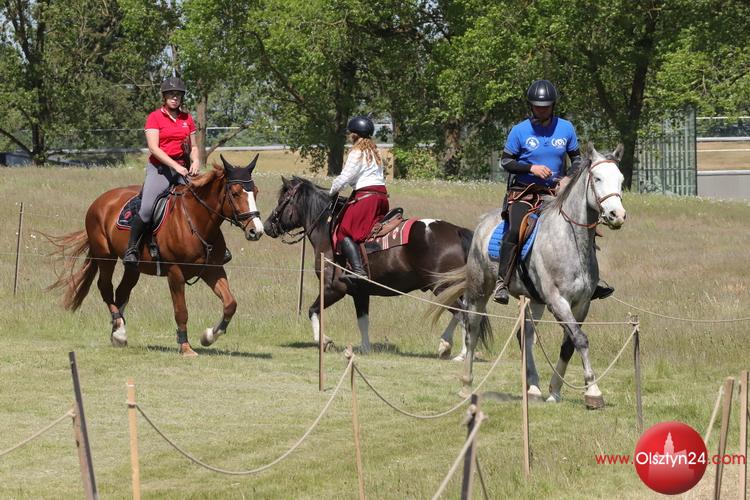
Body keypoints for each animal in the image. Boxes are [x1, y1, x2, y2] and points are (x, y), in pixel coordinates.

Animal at [47, 155, 265, 356]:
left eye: (255, 192)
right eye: (235, 193)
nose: (257, 231)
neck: (195, 222)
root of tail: (102, 199)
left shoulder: (212, 269)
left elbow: (230, 304)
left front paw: (209, 336)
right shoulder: (175, 273)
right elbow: (181, 311)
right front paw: (185, 347)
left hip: (133, 266)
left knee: (122, 291)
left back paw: (118, 332)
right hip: (106, 257)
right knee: (105, 287)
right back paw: (119, 331)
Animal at [263, 176, 478, 355]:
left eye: (282, 201)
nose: (266, 226)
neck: (328, 229)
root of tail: (456, 231)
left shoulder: (334, 289)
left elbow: (312, 310)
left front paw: (323, 341)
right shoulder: (360, 292)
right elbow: (363, 321)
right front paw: (364, 348)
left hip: (443, 286)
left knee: (464, 314)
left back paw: (462, 353)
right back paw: (446, 345)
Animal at [431, 143, 626, 407]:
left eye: (621, 179)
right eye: (597, 178)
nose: (617, 215)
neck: (571, 241)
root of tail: (483, 222)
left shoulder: (582, 304)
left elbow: (569, 344)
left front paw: (555, 390)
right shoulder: (558, 301)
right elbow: (581, 340)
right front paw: (593, 392)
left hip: (534, 301)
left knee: (525, 336)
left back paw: (532, 388)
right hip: (479, 292)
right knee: (472, 330)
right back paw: (466, 385)